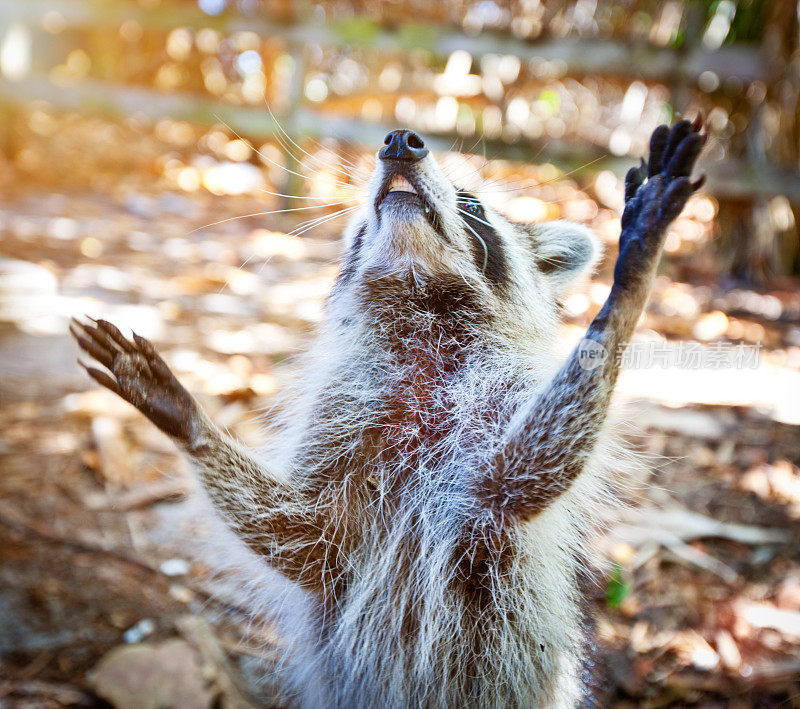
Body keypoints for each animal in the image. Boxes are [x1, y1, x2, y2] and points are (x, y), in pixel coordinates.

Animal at [72, 119, 704, 704]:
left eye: (475, 205)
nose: (400, 140)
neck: (422, 304)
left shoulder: (495, 421)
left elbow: (521, 476)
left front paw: (631, 282)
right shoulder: (346, 407)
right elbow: (309, 538)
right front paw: (190, 424)